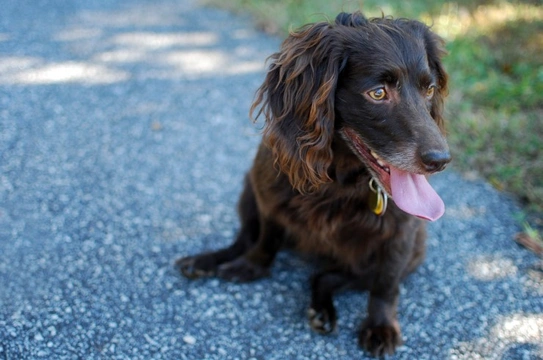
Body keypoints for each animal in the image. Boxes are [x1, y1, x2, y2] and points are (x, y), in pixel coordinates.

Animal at [177, 11, 450, 358]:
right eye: (378, 93)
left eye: (429, 90)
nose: (441, 160)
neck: (340, 178)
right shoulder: (269, 199)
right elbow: (264, 242)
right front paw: (250, 266)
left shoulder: (402, 232)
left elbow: (386, 285)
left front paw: (380, 326)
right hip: (248, 193)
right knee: (245, 239)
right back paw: (206, 261)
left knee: (326, 276)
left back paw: (321, 308)